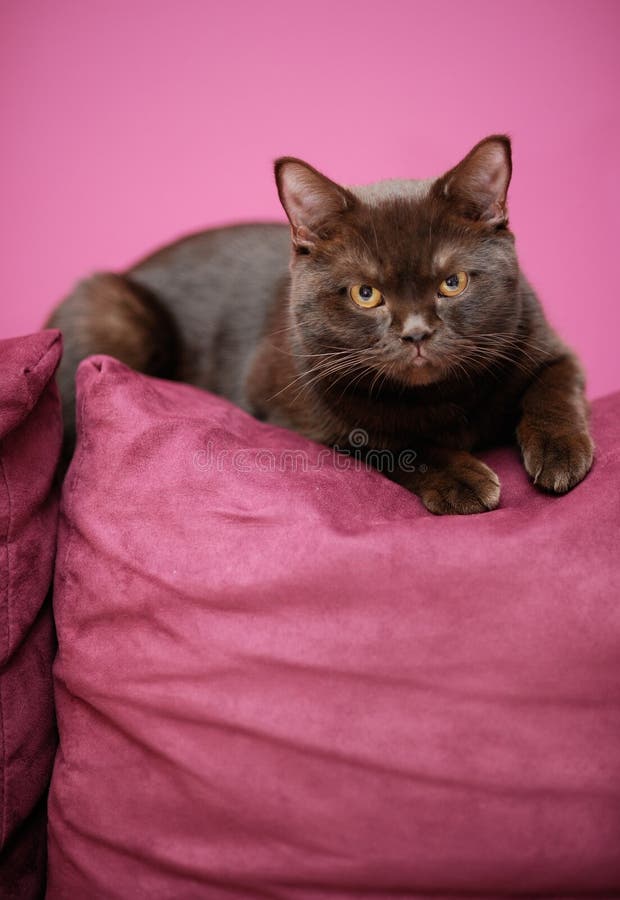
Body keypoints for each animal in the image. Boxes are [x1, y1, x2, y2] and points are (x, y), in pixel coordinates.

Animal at [46, 135, 592, 512]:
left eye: (452, 282)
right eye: (365, 294)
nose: (416, 333)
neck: (440, 398)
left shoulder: (539, 338)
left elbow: (556, 385)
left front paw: (562, 452)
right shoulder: (302, 403)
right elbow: (389, 440)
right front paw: (461, 480)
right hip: (110, 312)